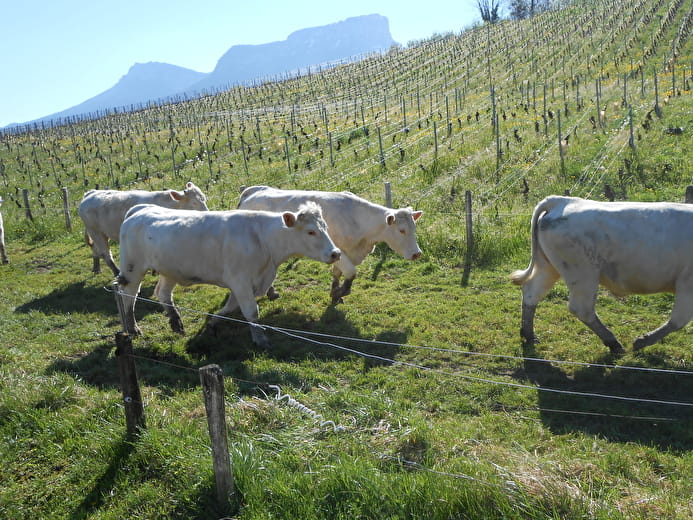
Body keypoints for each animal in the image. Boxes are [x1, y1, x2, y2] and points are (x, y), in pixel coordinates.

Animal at [77, 182, 208, 274]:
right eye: (194, 203)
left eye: (204, 199)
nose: (207, 213)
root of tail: (90, 193)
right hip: (95, 231)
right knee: (105, 253)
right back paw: (116, 272)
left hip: (102, 233)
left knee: (95, 248)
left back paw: (96, 268)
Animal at [116, 201, 340, 348]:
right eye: (311, 232)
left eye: (325, 227)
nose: (335, 253)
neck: (262, 239)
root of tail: (140, 209)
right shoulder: (240, 280)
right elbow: (251, 312)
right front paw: (260, 339)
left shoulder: (244, 283)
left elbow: (232, 307)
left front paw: (213, 321)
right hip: (133, 268)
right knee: (128, 295)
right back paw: (133, 327)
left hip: (170, 270)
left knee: (162, 292)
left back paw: (175, 321)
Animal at [238, 185, 422, 302]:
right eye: (402, 230)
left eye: (414, 228)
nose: (417, 253)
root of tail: (252, 191)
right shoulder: (338, 251)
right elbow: (351, 272)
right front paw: (341, 292)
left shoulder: (341, 253)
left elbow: (337, 273)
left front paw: (335, 292)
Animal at [508, 197, 692, 356]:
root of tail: (563, 200)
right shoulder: (686, 283)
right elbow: (678, 320)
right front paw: (641, 341)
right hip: (583, 274)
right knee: (581, 309)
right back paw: (613, 343)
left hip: (548, 266)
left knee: (532, 293)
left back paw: (529, 335)